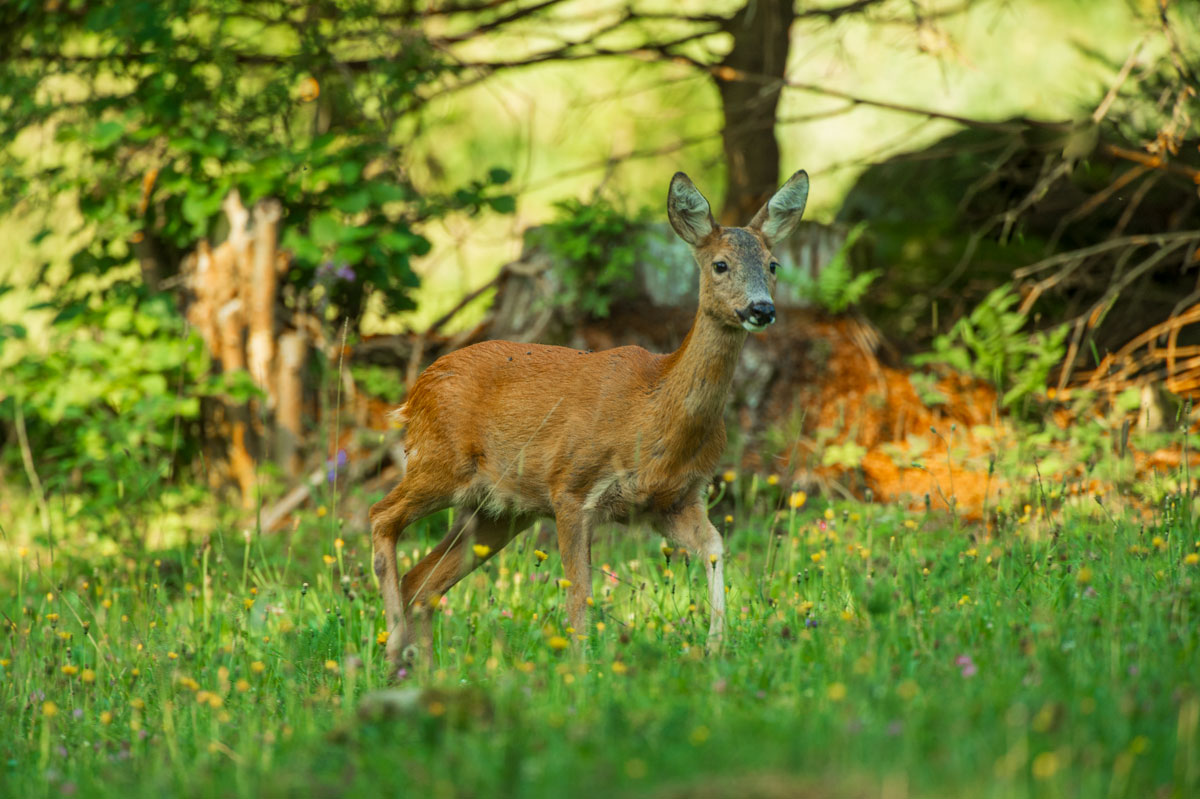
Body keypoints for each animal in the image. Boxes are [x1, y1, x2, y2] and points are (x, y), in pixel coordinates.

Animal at [369, 167, 811, 667]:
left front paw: (716, 645)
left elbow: (715, 548)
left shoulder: (677, 498)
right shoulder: (570, 487)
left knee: (423, 582)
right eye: (720, 264)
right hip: (439, 461)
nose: (761, 309)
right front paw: (580, 668)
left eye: (773, 265)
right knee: (381, 518)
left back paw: (419, 668)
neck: (654, 414)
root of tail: (416, 390)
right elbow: (579, 592)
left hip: (499, 511)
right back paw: (394, 649)